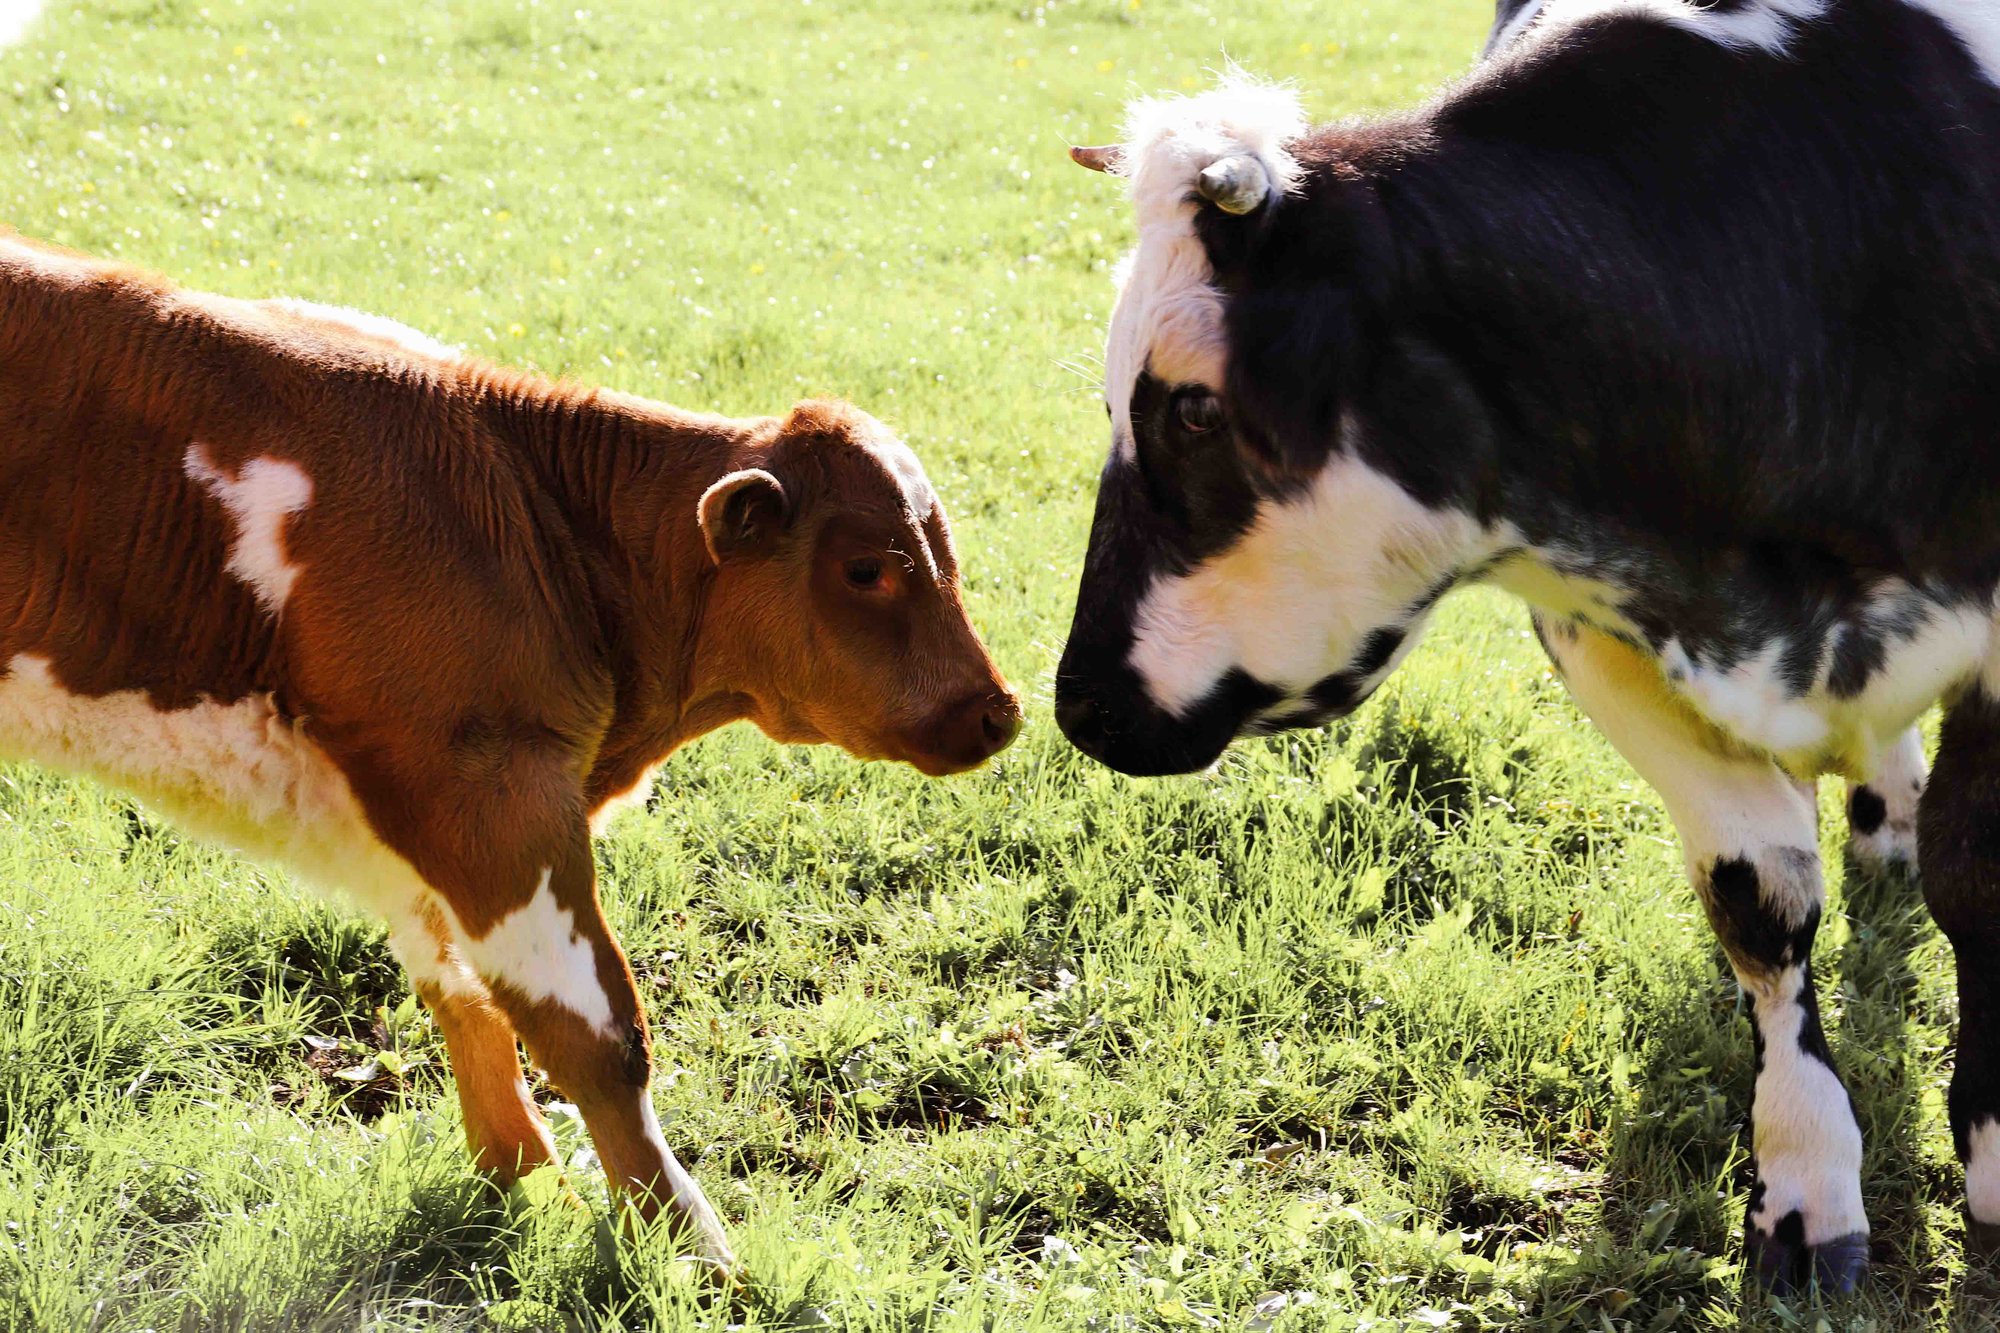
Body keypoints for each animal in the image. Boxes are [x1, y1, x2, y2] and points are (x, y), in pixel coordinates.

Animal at [0, 230, 1022, 1273]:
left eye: (945, 553)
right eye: (864, 569)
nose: (997, 711)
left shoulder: (427, 808)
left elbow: (467, 990)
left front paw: (523, 1179)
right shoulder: (488, 786)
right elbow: (595, 1031)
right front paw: (692, 1249)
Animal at [1056, 0, 2000, 1296]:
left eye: (1193, 407)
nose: (1079, 702)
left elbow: (1979, 870)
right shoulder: (1600, 636)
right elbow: (1757, 895)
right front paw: (1805, 1172)